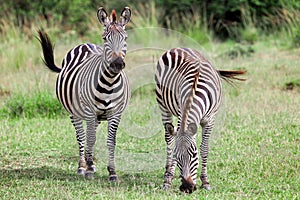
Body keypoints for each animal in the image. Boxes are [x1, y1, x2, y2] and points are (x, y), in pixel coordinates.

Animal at [37, 7, 131, 180]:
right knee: (81, 136)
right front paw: (88, 170)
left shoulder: (115, 113)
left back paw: (90, 163)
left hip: (96, 117)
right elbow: (90, 138)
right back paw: (82, 166)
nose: (117, 64)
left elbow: (111, 141)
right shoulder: (90, 112)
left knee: (88, 136)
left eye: (125, 38)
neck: (109, 83)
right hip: (74, 112)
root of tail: (84, 44)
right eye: (105, 38)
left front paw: (112, 172)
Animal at [155, 47, 246, 193]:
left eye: (194, 155)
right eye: (177, 157)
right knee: (169, 138)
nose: (187, 188)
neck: (194, 90)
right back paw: (168, 174)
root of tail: (178, 48)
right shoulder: (181, 110)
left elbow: (205, 148)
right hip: (163, 104)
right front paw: (168, 179)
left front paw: (205, 181)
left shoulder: (210, 120)